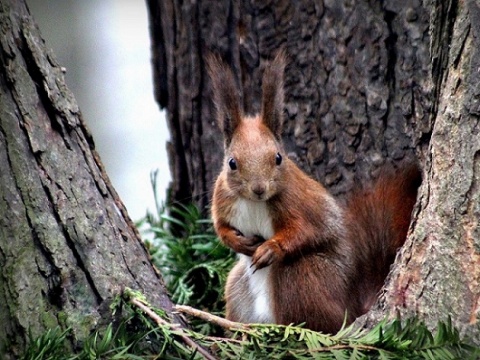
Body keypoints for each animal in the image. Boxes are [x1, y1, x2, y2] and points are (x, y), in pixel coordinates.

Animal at [208, 51, 422, 334]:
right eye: (232, 163)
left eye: (278, 158)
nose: (259, 189)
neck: (253, 202)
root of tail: (351, 308)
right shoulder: (222, 200)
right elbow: (220, 228)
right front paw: (236, 241)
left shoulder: (299, 204)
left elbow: (307, 230)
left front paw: (271, 248)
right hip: (237, 287)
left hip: (303, 276)